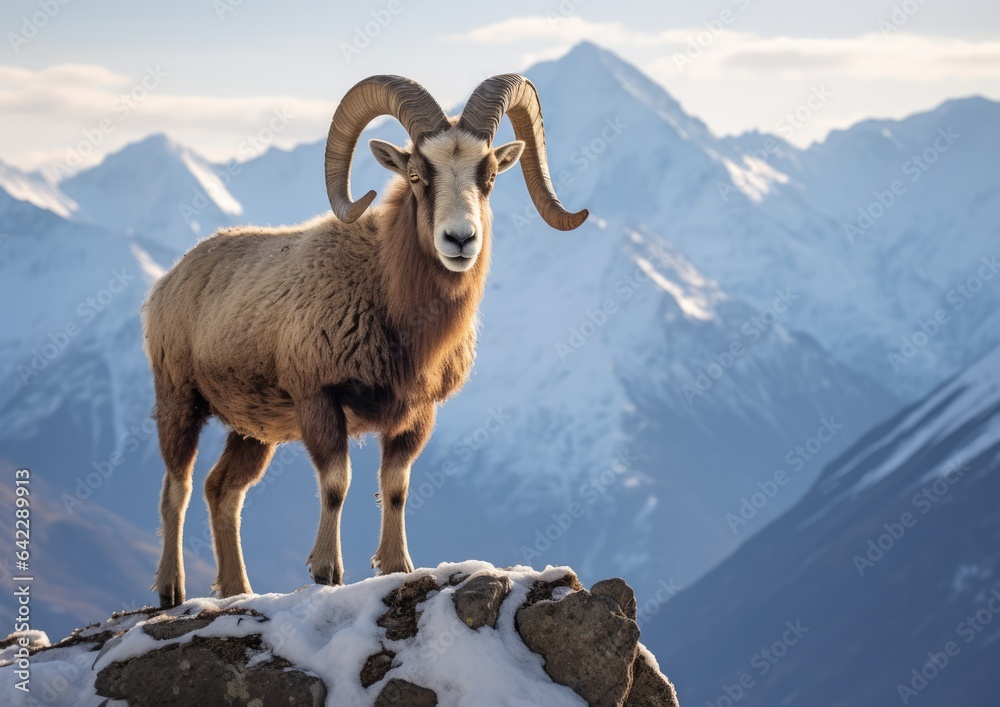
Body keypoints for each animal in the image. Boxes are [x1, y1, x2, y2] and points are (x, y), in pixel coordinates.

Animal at [142, 74, 588, 607]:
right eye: (417, 175)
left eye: (490, 177)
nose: (460, 240)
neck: (384, 291)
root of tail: (169, 280)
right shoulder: (319, 399)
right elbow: (337, 484)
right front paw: (327, 572)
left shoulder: (416, 416)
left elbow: (395, 487)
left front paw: (397, 566)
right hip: (178, 401)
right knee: (177, 489)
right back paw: (171, 591)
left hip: (252, 431)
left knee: (223, 491)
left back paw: (237, 590)